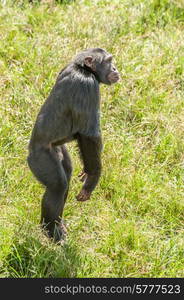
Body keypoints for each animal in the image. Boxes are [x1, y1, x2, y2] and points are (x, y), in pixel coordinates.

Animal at [27, 48, 119, 241]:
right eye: (108, 61)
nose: (115, 68)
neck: (83, 68)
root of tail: (29, 151)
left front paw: (86, 172)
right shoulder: (87, 86)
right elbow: (89, 135)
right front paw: (92, 177)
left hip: (59, 151)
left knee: (66, 174)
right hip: (41, 160)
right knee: (58, 186)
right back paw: (52, 232)